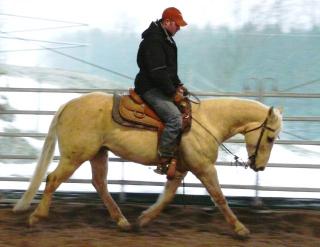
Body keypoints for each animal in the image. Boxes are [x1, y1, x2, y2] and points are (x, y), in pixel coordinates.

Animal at [12, 91, 282, 238]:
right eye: (270, 137)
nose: (259, 167)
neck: (208, 122)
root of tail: (68, 105)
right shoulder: (204, 168)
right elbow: (219, 197)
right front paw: (241, 229)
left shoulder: (180, 169)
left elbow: (167, 197)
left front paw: (142, 220)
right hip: (74, 156)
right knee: (53, 179)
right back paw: (35, 217)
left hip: (98, 154)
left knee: (99, 183)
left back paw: (122, 221)